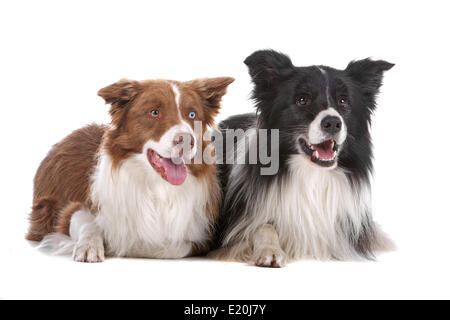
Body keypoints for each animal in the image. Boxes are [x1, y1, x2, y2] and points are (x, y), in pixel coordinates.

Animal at [25, 77, 234, 262]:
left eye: (192, 115)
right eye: (154, 112)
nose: (186, 140)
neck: (157, 187)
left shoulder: (202, 235)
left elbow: (169, 247)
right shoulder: (74, 210)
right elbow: (85, 222)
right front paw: (90, 246)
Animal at [211, 48, 394, 266]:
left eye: (343, 101)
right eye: (302, 99)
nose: (333, 123)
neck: (312, 174)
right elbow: (263, 226)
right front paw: (270, 250)